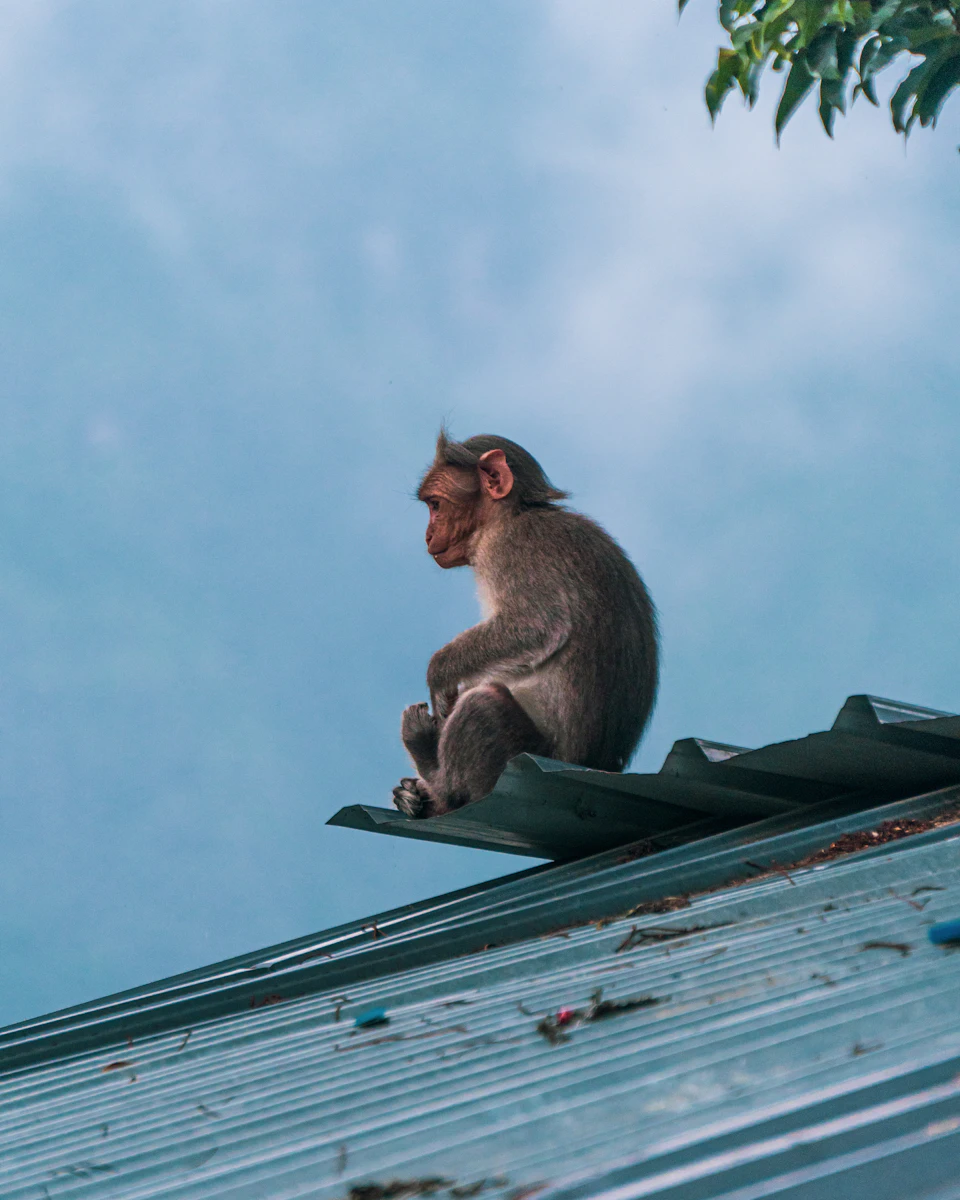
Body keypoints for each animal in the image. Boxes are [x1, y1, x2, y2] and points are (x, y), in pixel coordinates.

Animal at [392, 430, 659, 820]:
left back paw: (436, 780)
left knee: (482, 706)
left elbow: (536, 624)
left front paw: (439, 672)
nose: (427, 536)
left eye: (436, 505)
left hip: (522, 754)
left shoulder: (511, 548)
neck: (512, 515)